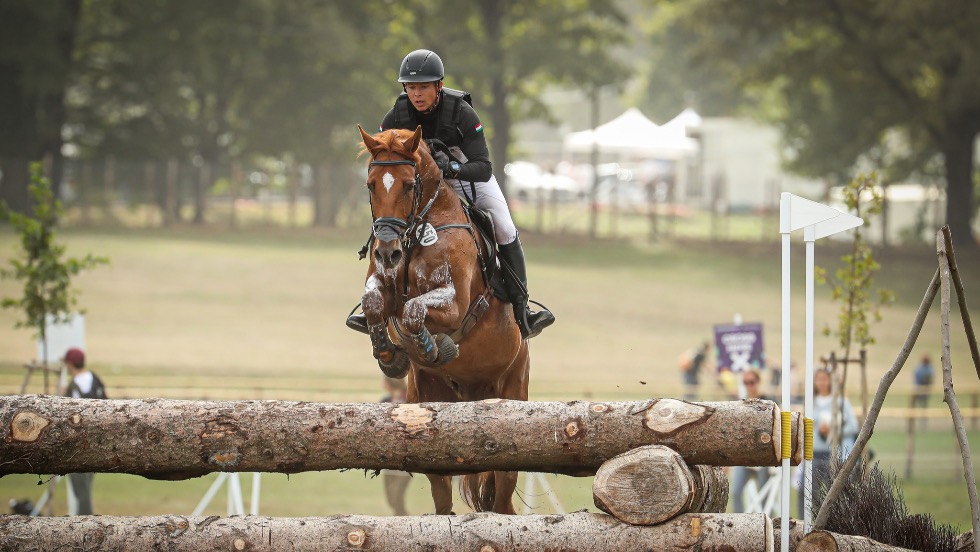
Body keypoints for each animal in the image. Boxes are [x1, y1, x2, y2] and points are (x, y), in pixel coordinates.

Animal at [358, 123, 528, 516]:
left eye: (409, 185)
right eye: (371, 185)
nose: (387, 252)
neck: (418, 231)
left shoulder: (456, 303)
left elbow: (413, 310)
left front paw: (432, 347)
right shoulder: (383, 286)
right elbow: (375, 302)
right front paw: (390, 356)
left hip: (513, 392)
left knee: (503, 495)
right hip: (429, 405)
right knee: (442, 492)